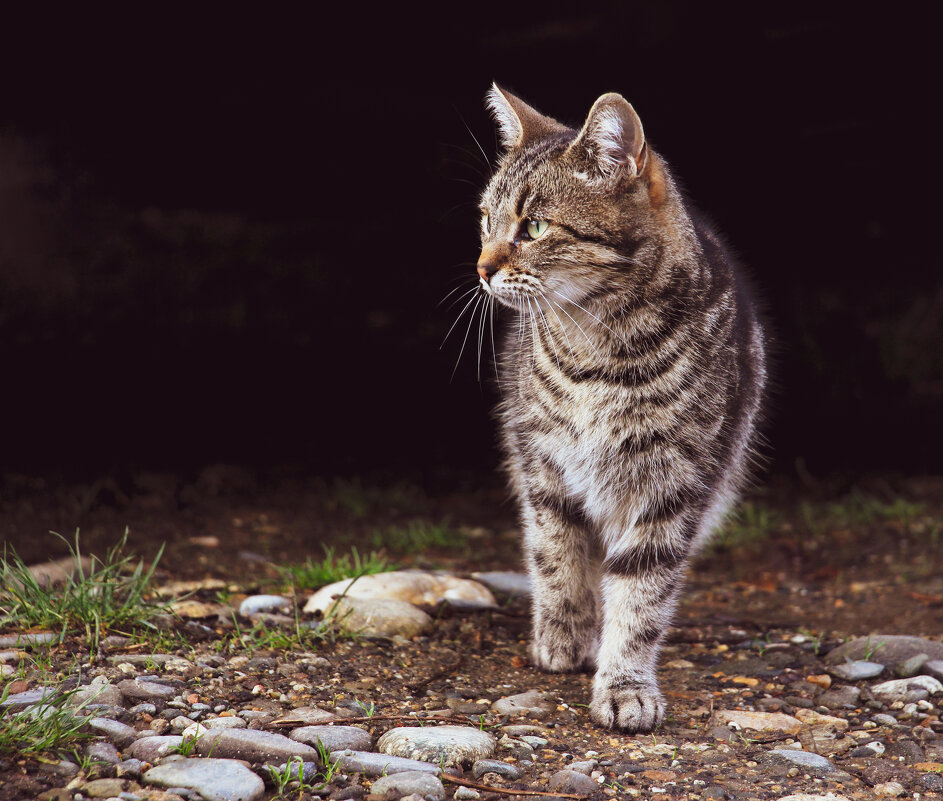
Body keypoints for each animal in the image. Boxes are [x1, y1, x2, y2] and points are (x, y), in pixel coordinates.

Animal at [476, 86, 772, 732]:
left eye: (534, 226)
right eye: (485, 220)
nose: (482, 268)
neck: (596, 352)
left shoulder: (673, 484)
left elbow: (641, 596)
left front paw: (625, 684)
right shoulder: (545, 467)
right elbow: (558, 557)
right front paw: (564, 637)